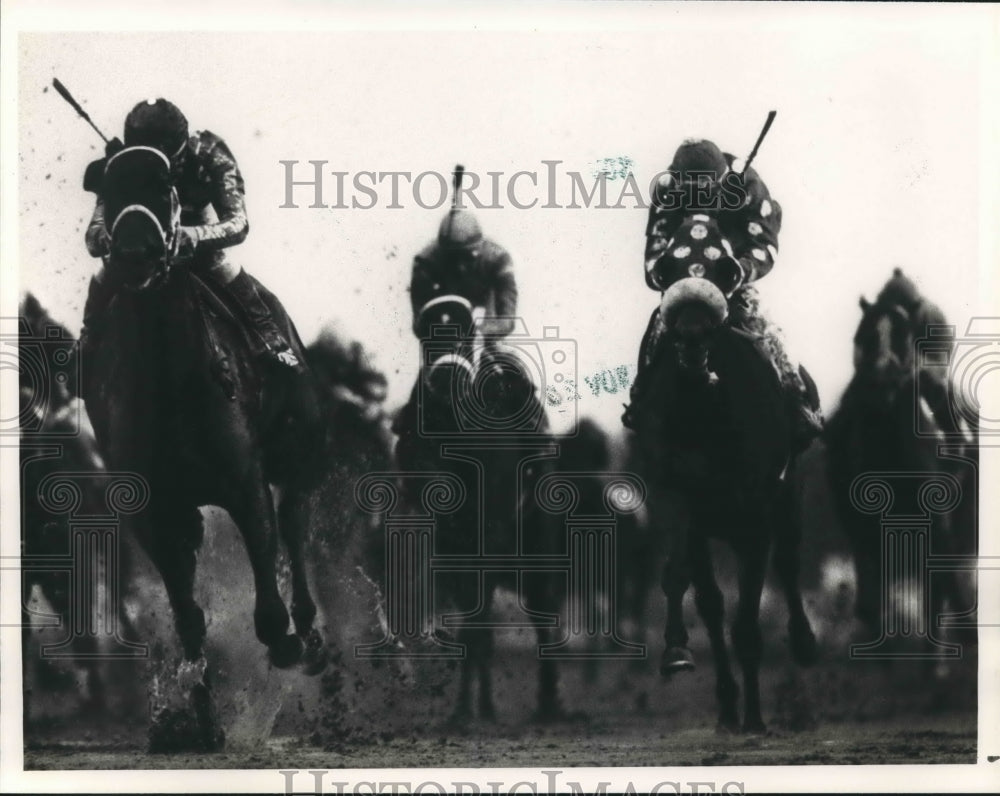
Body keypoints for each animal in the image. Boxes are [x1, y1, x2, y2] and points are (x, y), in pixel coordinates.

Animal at [81, 146, 328, 748]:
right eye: (110, 189)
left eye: (165, 184)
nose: (135, 254)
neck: (169, 380)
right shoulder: (153, 509)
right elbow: (188, 616)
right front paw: (199, 717)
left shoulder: (245, 479)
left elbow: (268, 590)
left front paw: (287, 641)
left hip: (299, 453)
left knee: (295, 526)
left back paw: (310, 638)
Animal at [632, 262, 820, 732]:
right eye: (674, 331)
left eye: (711, 331)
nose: (693, 351)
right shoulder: (681, 503)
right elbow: (698, 593)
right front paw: (682, 657)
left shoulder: (755, 518)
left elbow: (747, 621)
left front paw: (753, 716)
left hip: (786, 499)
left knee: (788, 563)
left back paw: (805, 643)